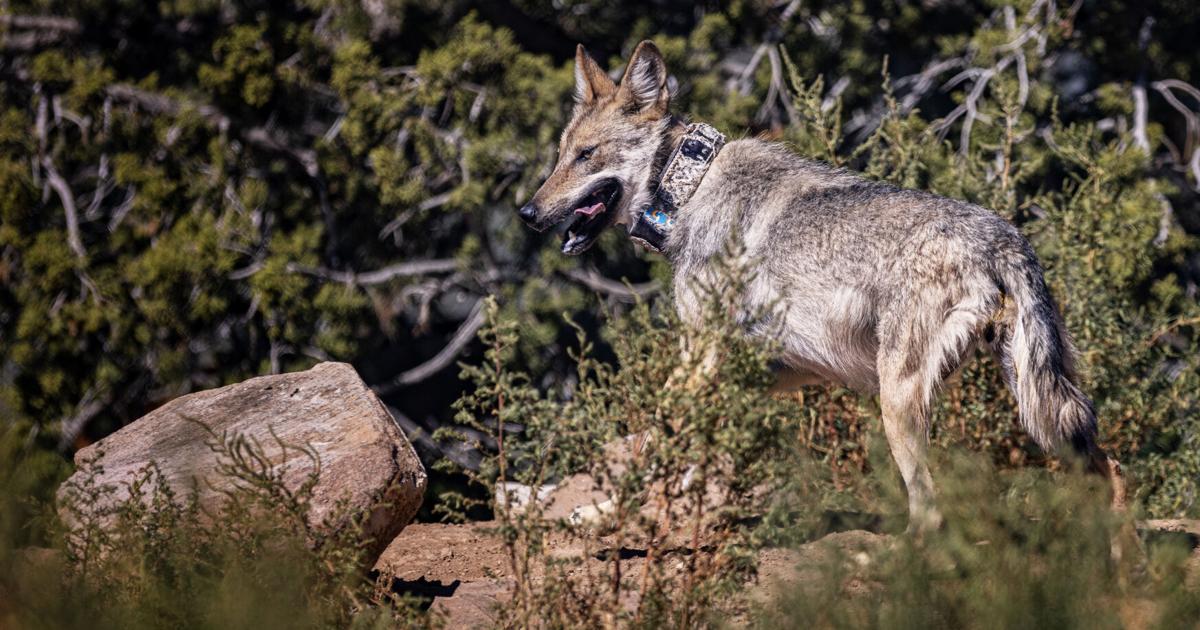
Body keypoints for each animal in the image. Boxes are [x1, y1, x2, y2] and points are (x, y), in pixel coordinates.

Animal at [517, 41, 1126, 531]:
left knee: (930, 510)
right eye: (560, 156)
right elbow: (684, 450)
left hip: (902, 402)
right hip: (1036, 406)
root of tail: (1004, 237)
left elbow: (652, 439)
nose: (527, 213)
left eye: (586, 156)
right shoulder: (757, 373)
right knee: (1110, 468)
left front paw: (598, 516)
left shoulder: (700, 356)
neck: (690, 189)